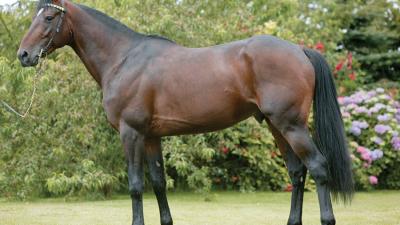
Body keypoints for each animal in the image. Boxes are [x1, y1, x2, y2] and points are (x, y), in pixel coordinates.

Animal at [17, 0, 354, 224]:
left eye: (49, 17)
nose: (23, 55)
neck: (124, 58)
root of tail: (299, 50)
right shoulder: (151, 137)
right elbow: (158, 182)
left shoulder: (131, 133)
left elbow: (136, 186)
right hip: (276, 126)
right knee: (297, 173)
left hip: (291, 125)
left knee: (318, 166)